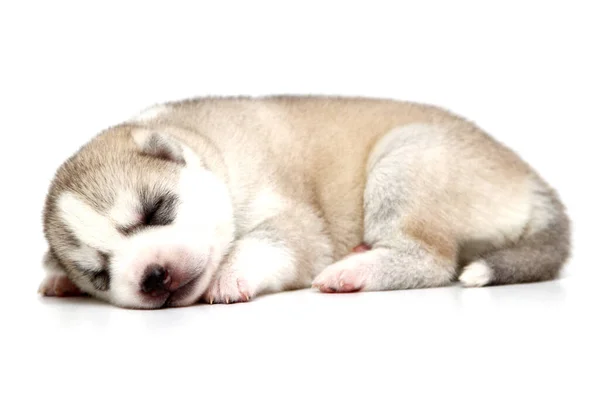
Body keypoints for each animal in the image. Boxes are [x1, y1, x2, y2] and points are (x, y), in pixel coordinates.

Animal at [38, 96, 572, 310]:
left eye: (155, 211)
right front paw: (57, 279)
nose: (153, 275)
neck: (208, 147)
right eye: (98, 274)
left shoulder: (298, 224)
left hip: (405, 159)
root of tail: (532, 179)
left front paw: (230, 273)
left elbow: (264, 242)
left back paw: (353, 271)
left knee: (432, 259)